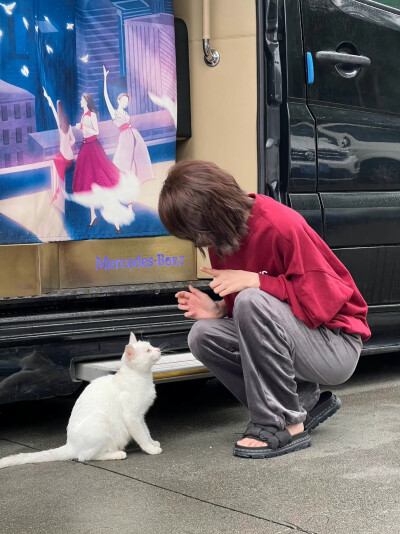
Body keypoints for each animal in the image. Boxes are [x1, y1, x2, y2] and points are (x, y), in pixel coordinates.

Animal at [0, 338, 162, 472]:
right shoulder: (132, 417)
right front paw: (150, 449)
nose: (158, 349)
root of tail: (71, 444)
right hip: (100, 420)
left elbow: (145, 431)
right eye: (148, 350)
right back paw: (116, 454)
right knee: (85, 456)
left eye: (151, 346)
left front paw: (152, 443)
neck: (141, 378)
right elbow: (141, 435)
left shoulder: (140, 417)